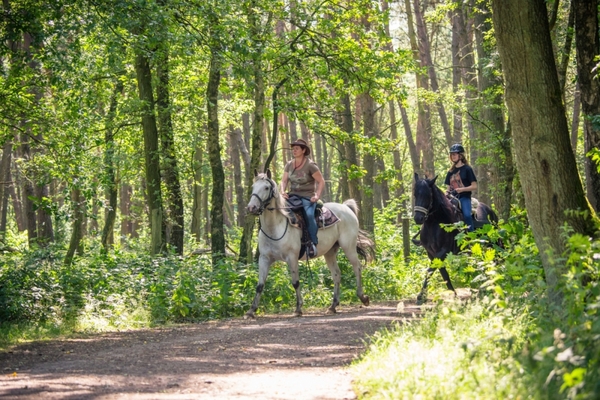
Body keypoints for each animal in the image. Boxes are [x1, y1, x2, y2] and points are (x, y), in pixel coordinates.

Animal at [245, 170, 376, 318]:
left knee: (357, 267)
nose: (251, 207)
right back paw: (333, 306)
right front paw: (251, 311)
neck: (275, 227)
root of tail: (346, 207)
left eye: (266, 188)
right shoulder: (264, 259)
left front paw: (298, 308)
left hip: (349, 247)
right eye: (253, 187)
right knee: (336, 274)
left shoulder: (292, 257)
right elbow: (260, 285)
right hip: (330, 251)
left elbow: (295, 282)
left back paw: (363, 297)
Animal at [412, 173, 496, 304]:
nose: (418, 218)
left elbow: (431, 270)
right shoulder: (431, 253)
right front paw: (453, 293)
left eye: (428, 195)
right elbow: (442, 273)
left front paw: (421, 296)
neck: (434, 224)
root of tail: (491, 210)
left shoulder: (444, 251)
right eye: (415, 194)